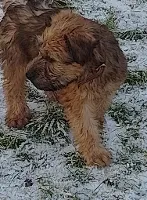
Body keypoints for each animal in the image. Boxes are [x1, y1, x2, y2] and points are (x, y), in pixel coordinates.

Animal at [25, 9, 127, 166]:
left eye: (51, 59)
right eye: (40, 50)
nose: (27, 75)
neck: (92, 74)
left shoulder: (107, 91)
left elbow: (99, 109)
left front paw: (98, 123)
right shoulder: (78, 102)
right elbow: (85, 126)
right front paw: (95, 153)